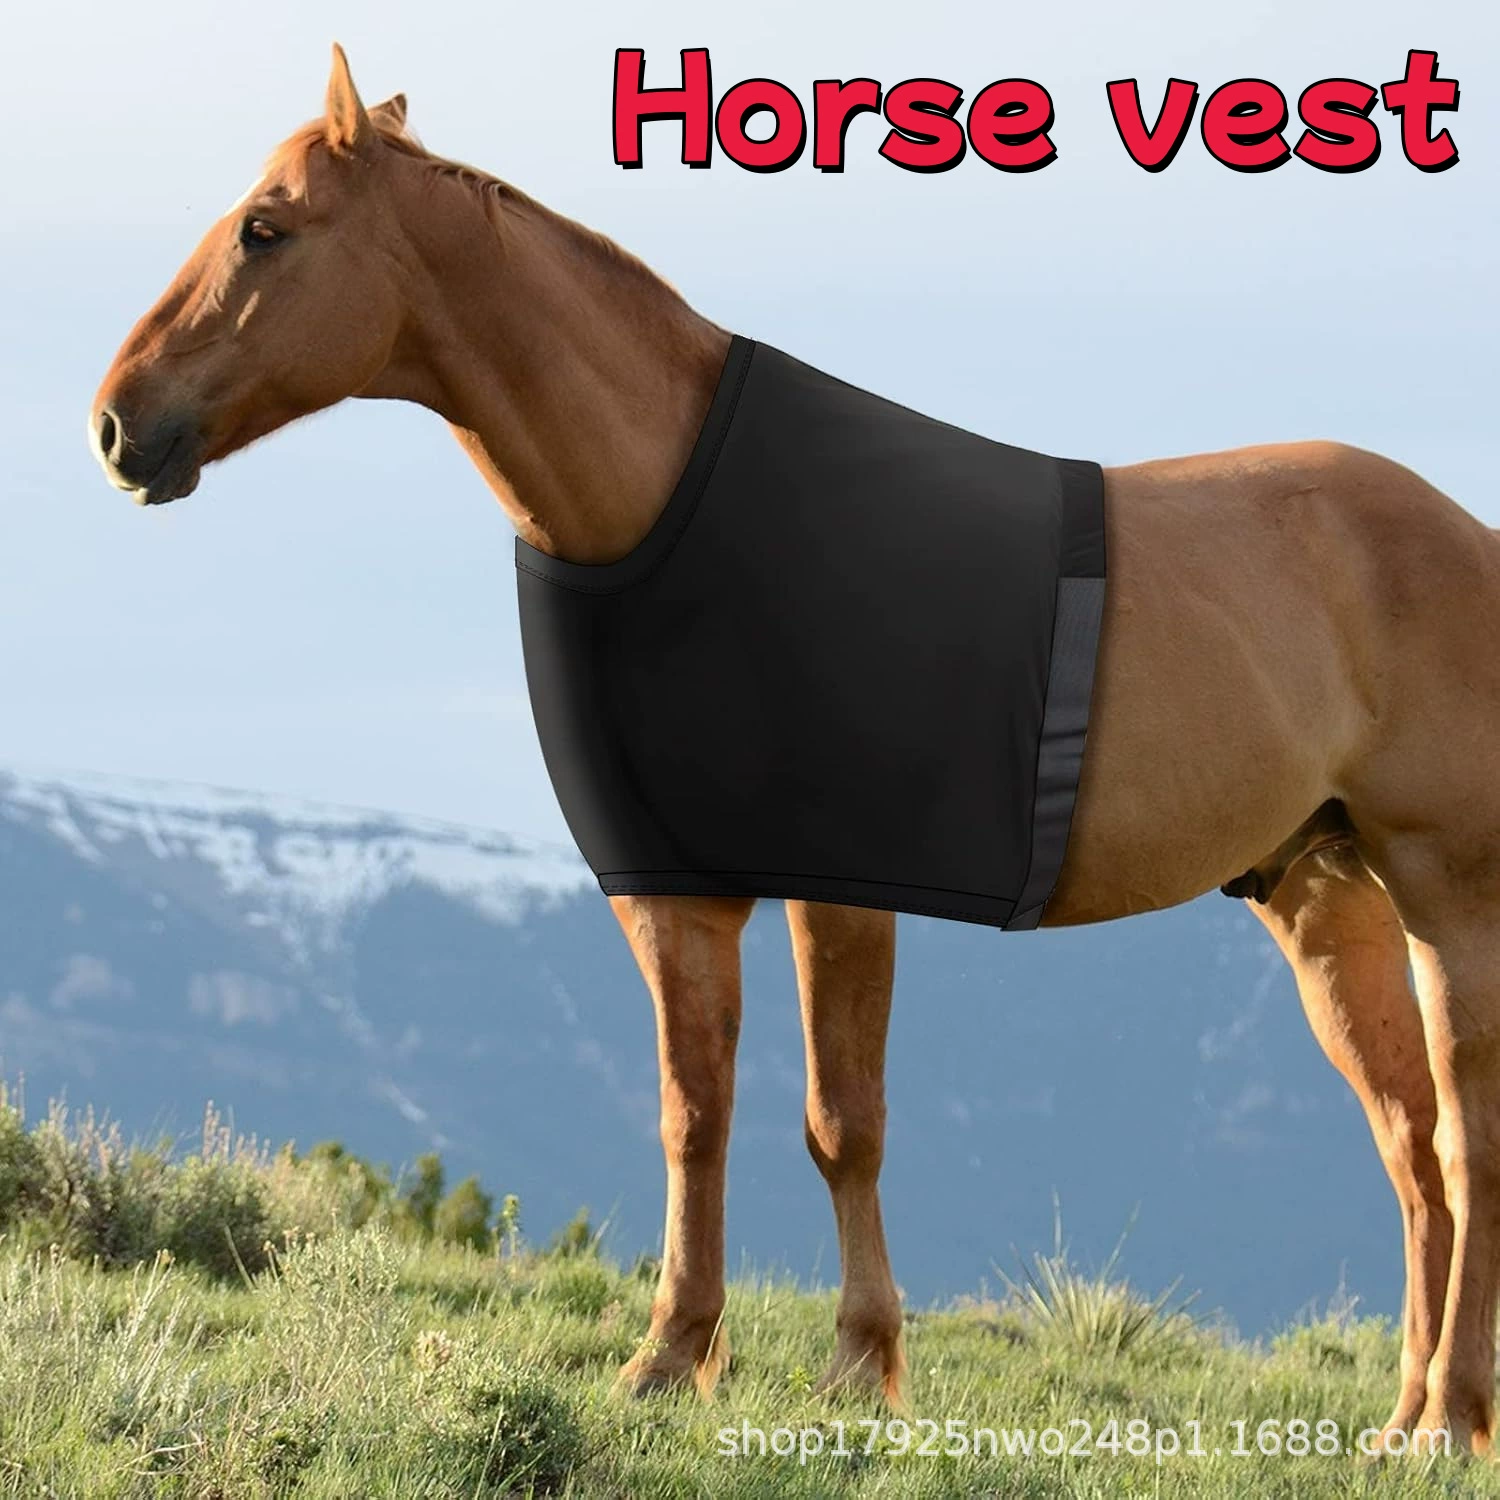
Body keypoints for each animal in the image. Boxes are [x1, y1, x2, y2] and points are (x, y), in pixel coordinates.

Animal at [90, 46, 1499, 1454]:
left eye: (265, 229)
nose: (115, 425)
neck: (669, 504)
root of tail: (1460, 531)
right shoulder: (674, 894)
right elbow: (694, 1115)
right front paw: (671, 1355)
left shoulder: (843, 889)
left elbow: (842, 1124)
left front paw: (861, 1364)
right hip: (1329, 903)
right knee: (1412, 1152)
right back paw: (1402, 1416)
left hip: (1446, 896)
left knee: (1466, 1140)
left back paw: (1448, 1420)